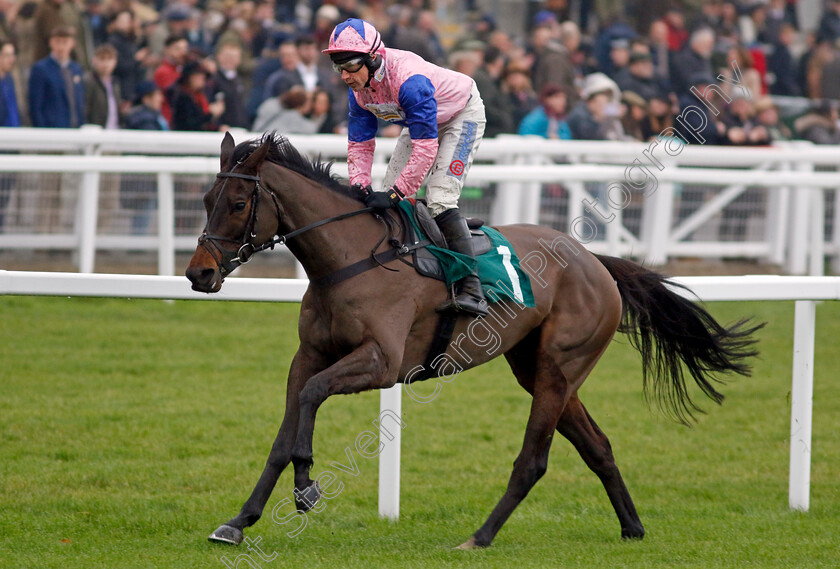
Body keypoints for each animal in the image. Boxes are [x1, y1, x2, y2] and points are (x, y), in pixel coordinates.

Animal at [185, 131, 760, 548]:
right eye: (208, 196)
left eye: (238, 201)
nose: (198, 273)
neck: (347, 260)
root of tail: (594, 261)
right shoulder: (308, 356)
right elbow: (284, 434)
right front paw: (240, 519)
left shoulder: (381, 362)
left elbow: (310, 399)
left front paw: (306, 487)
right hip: (538, 368)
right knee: (597, 446)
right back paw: (632, 528)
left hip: (558, 369)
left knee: (534, 460)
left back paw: (479, 537)